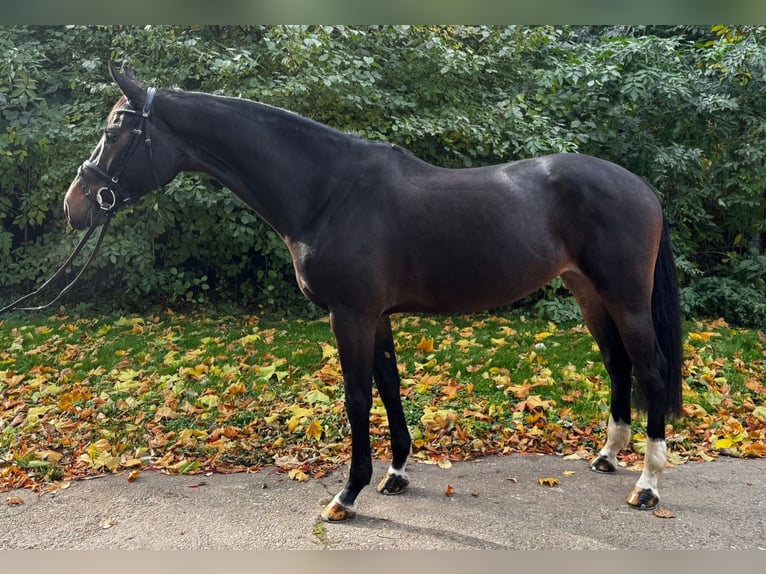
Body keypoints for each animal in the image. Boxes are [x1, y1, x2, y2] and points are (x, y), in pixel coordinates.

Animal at [64, 63, 683, 522]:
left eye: (115, 132)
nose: (75, 205)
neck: (328, 190)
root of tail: (642, 186)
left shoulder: (351, 314)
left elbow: (358, 396)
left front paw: (347, 494)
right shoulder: (376, 315)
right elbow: (389, 385)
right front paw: (396, 473)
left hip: (625, 297)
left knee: (649, 369)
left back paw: (648, 484)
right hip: (587, 291)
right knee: (617, 363)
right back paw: (607, 456)